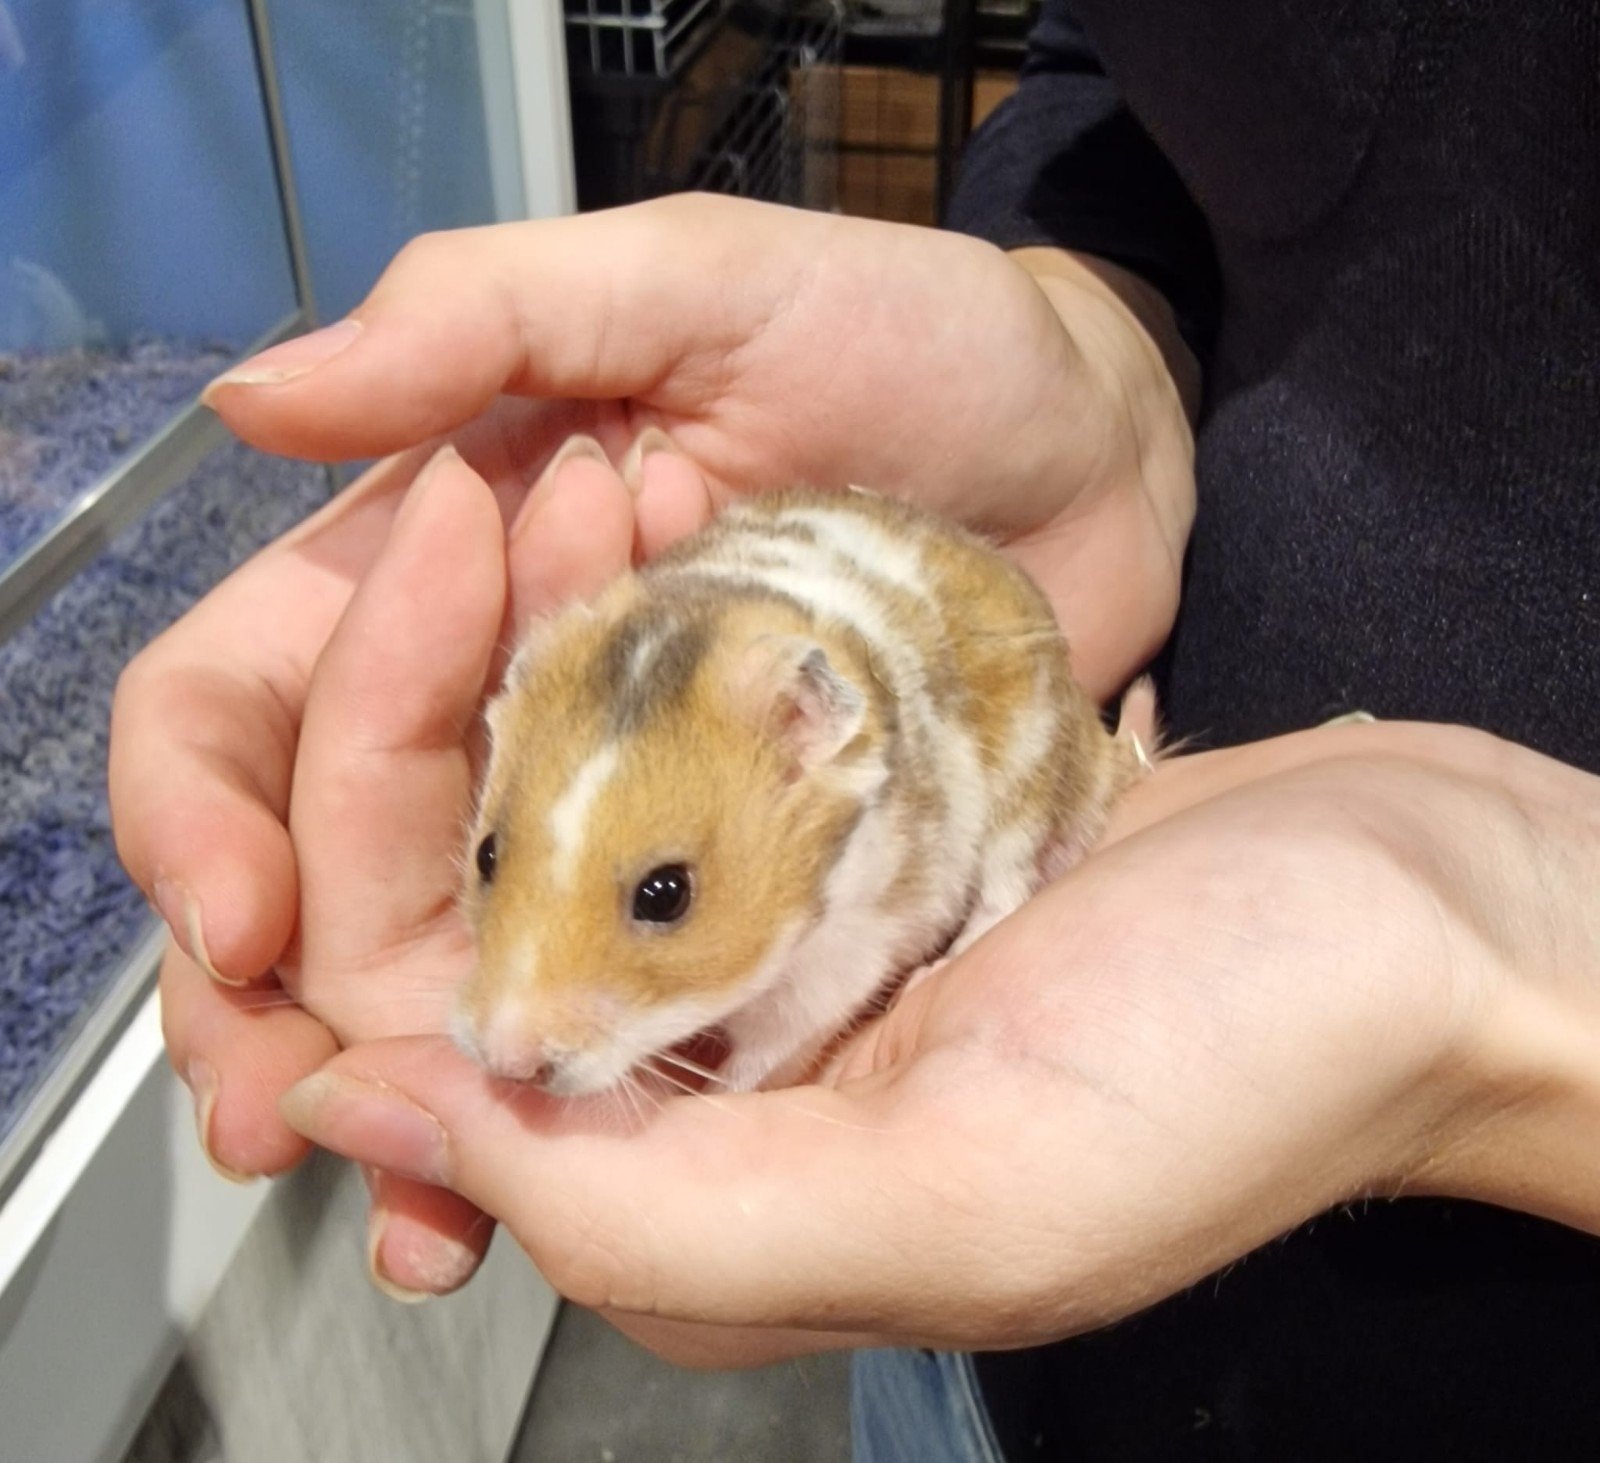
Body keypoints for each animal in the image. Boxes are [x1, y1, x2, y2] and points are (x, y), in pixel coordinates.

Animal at [452, 470, 1151, 1097]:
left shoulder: (837, 963)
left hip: (1030, 772)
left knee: (1006, 888)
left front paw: (711, 1096)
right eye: (486, 855)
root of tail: (1102, 749)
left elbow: (767, 1054)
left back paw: (934, 972)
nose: (506, 1065)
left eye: (666, 894)